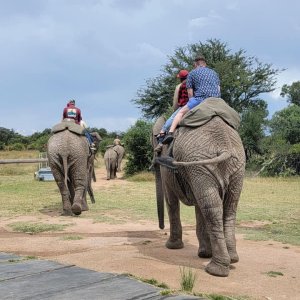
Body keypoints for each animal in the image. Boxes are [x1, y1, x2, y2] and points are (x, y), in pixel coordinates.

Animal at [152, 98, 246, 276]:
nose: (160, 228)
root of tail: (225, 146)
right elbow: (198, 204)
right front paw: (204, 253)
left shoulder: (168, 169)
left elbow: (171, 201)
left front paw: (172, 247)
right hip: (232, 166)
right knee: (227, 206)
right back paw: (232, 260)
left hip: (202, 163)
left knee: (211, 208)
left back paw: (215, 270)